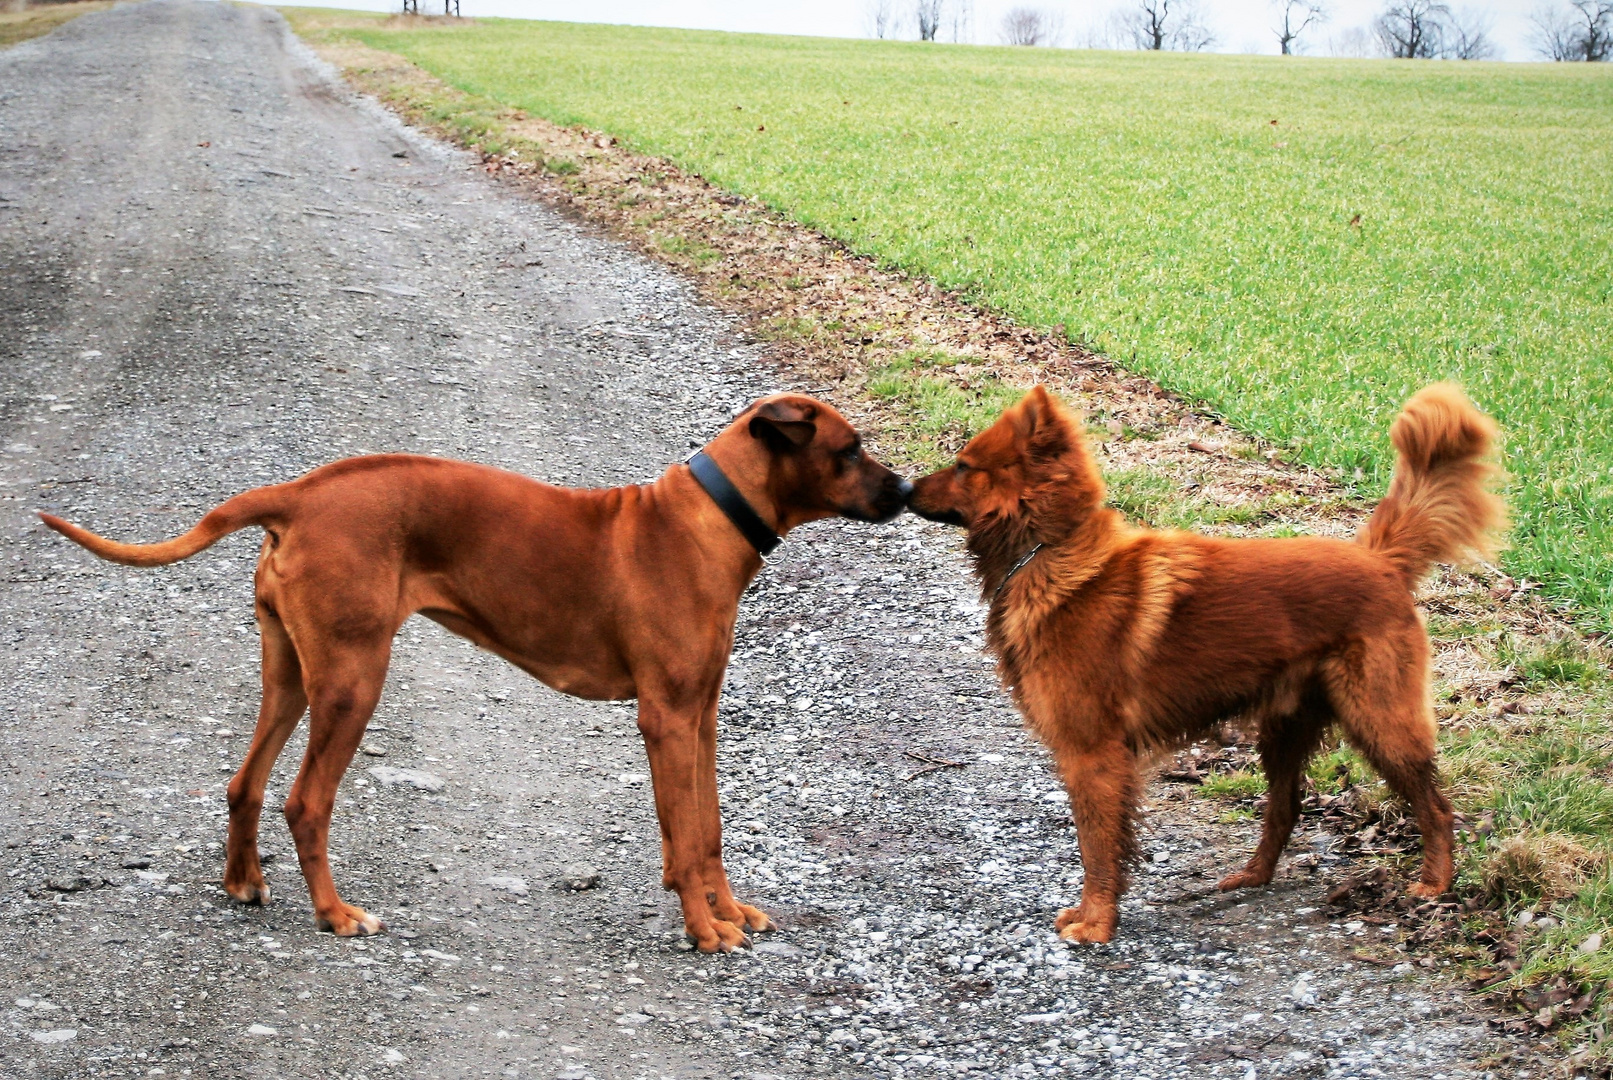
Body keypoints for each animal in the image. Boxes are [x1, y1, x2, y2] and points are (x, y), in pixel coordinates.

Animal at [44, 398, 916, 954]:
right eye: (849, 449)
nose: (908, 489)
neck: (706, 517)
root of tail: (297, 493)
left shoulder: (699, 714)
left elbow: (707, 830)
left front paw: (728, 913)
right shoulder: (665, 717)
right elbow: (680, 833)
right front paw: (703, 932)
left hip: (291, 674)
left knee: (244, 783)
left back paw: (243, 884)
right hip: (354, 680)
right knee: (305, 802)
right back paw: (335, 915)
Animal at [909, 385, 1496, 941]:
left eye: (963, 466)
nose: (905, 488)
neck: (1051, 552)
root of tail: (1379, 560)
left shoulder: (1092, 754)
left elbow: (1097, 846)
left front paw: (1096, 924)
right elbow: (1109, 844)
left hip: (1379, 721)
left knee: (1436, 808)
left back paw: (1434, 884)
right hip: (1284, 730)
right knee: (1285, 808)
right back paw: (1251, 878)